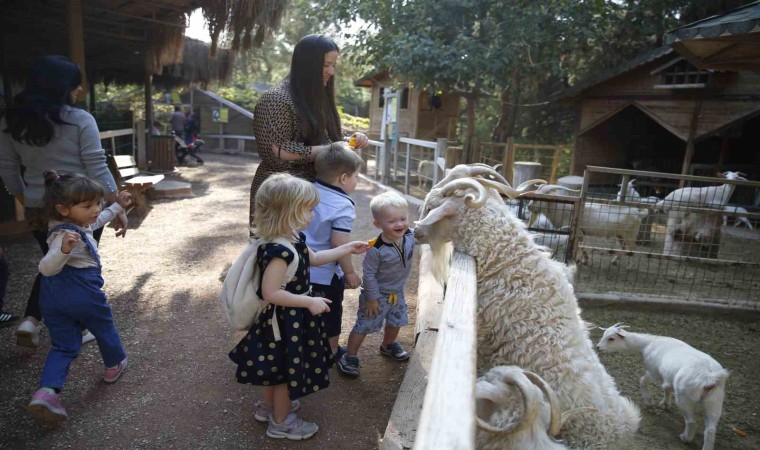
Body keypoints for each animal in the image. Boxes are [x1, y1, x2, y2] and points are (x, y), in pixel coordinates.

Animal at [596, 324, 728, 450]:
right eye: (604, 334)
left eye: (611, 338)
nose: (598, 347)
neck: (647, 344)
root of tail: (708, 376)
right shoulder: (667, 378)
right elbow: (667, 389)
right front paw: (665, 404)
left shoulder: (653, 372)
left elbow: (642, 381)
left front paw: (649, 404)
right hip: (714, 400)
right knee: (710, 429)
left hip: (684, 397)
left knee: (691, 422)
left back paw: (685, 438)